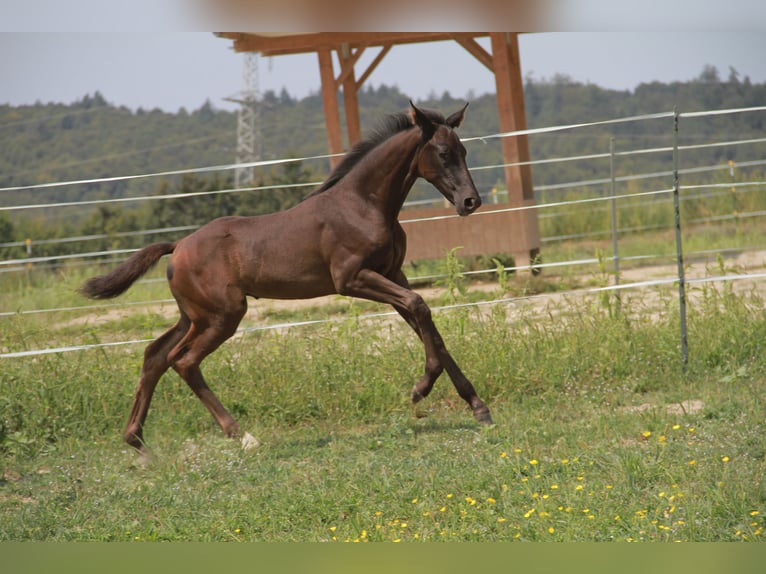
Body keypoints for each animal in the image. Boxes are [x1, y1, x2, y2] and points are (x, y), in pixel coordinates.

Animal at [80, 101, 494, 454]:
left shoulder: (394, 274)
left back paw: (137, 441)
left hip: (195, 315)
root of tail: (178, 246)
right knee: (183, 361)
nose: (470, 202)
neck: (363, 205)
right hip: (223, 315)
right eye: (444, 154)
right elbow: (420, 307)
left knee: (155, 355)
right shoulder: (353, 278)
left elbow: (429, 328)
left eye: (464, 152)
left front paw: (478, 406)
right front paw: (420, 388)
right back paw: (240, 434)